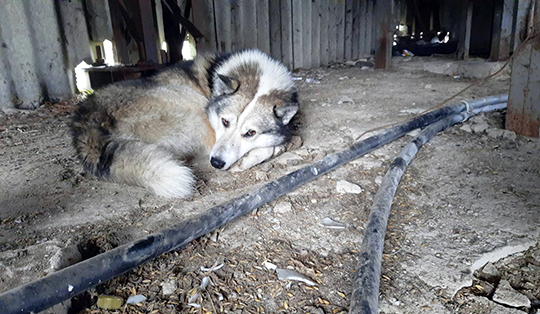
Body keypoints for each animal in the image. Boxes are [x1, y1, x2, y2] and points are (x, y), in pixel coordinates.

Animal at [70, 50, 300, 197]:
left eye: (250, 133)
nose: (217, 163)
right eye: (225, 121)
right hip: (192, 105)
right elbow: (279, 142)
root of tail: (87, 120)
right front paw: (277, 146)